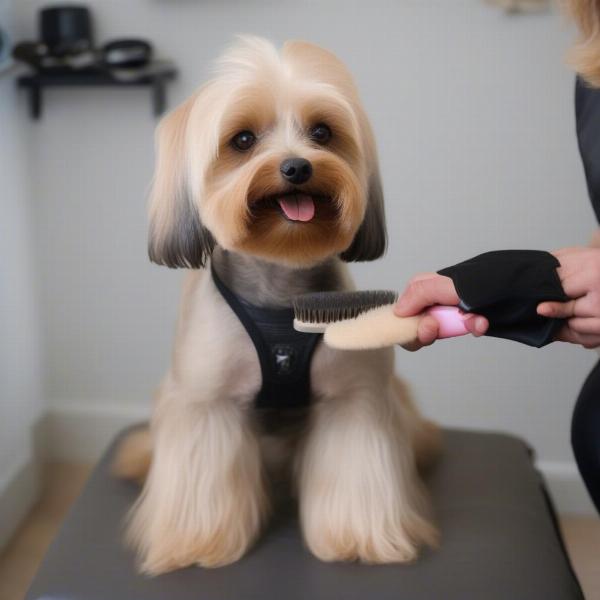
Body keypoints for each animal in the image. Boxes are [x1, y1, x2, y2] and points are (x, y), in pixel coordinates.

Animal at [113, 34, 440, 576]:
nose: (297, 166)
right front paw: (198, 543)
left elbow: (354, 467)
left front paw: (357, 539)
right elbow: (203, 474)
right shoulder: (205, 403)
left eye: (322, 132)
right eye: (243, 140)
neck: (281, 284)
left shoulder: (353, 399)